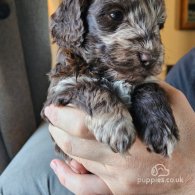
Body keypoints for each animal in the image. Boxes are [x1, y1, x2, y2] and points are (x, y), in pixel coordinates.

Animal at [42, 0, 179, 158]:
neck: (109, 73)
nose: (151, 58)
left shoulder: (144, 80)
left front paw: (162, 127)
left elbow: (149, 88)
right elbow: (91, 87)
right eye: (115, 14)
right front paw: (117, 125)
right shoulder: (59, 89)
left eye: (159, 24)